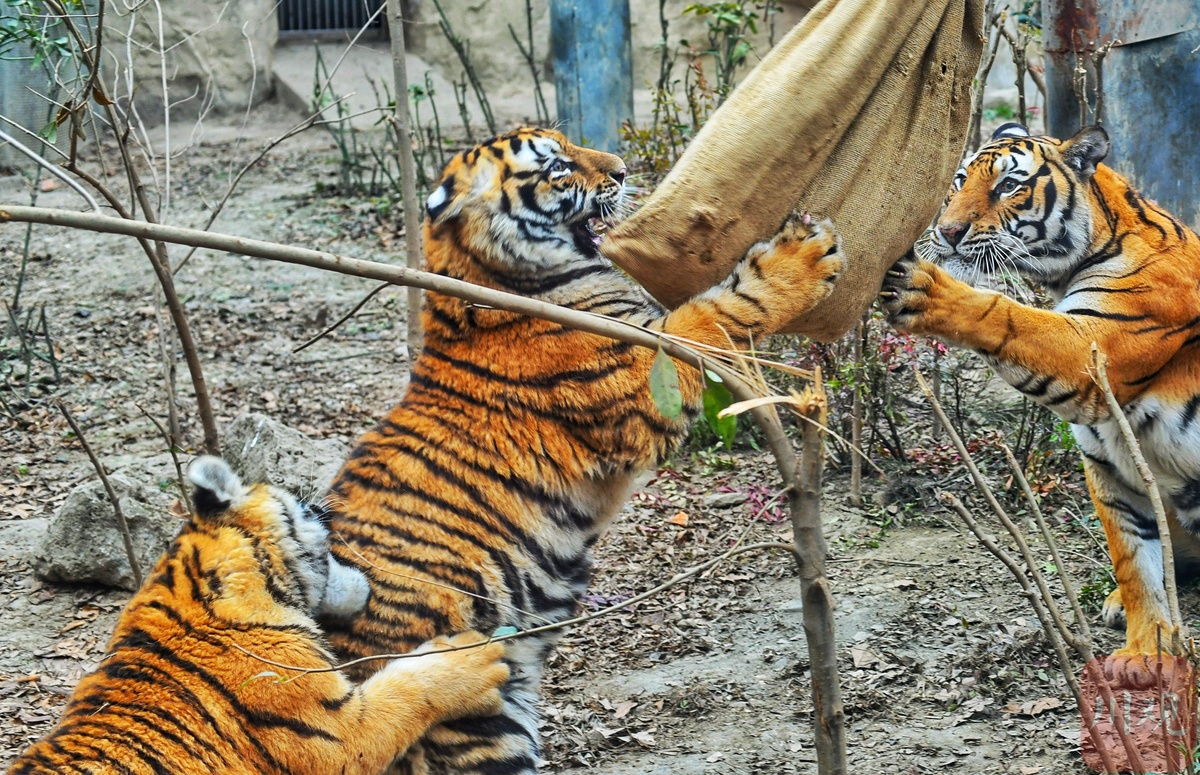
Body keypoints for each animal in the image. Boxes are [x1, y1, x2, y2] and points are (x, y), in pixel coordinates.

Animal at [319, 127, 844, 775]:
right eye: (558, 166)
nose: (620, 169)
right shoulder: (646, 375)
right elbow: (712, 312)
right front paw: (805, 258)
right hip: (476, 714)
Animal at [878, 121, 1200, 681]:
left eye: (1009, 186)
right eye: (959, 181)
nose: (947, 232)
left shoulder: (1092, 347)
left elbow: (1007, 315)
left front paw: (925, 287)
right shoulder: (1107, 462)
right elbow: (1134, 562)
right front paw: (1147, 648)